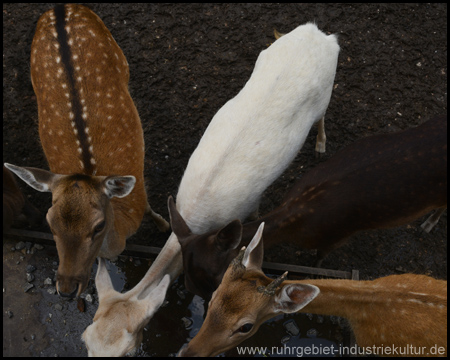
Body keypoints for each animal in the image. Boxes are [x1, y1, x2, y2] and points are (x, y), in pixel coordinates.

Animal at [3, 4, 169, 298]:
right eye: (50, 223)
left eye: (99, 226)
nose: (67, 289)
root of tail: (60, 8)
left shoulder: (139, 197)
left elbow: (151, 208)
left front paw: (164, 225)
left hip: (118, 54)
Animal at [171, 116, 446, 300]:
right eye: (186, 279)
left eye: (212, 274)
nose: (204, 300)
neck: (296, 220)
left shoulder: (336, 235)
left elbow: (320, 258)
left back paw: (428, 225)